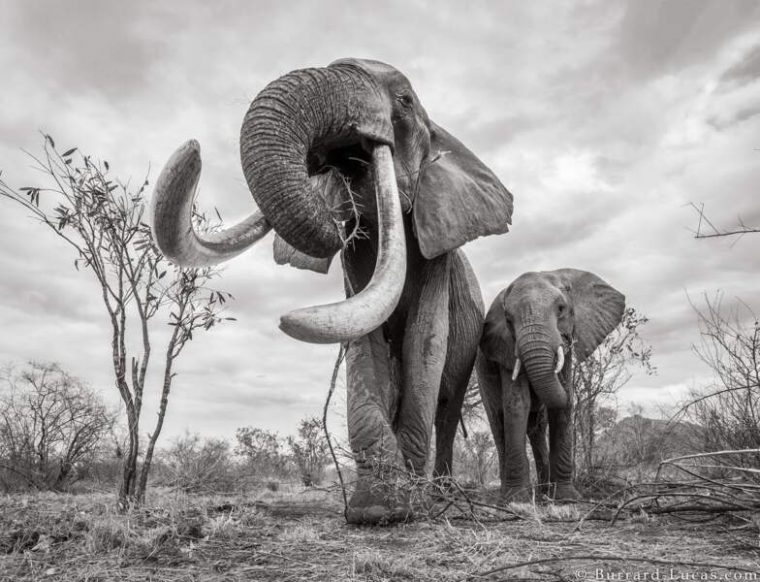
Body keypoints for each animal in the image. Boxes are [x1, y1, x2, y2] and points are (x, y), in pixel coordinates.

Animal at [151, 58, 512, 524]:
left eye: (405, 100)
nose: (333, 219)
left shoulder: (440, 250)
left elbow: (425, 341)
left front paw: (407, 507)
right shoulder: (354, 264)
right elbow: (363, 343)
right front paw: (376, 509)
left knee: (448, 405)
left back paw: (441, 494)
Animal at [478, 270, 628, 502]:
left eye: (561, 309)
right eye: (509, 319)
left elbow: (562, 406)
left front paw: (566, 497)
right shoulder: (505, 348)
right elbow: (517, 405)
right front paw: (517, 499)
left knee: (537, 427)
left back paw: (544, 491)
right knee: (498, 422)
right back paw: (509, 493)